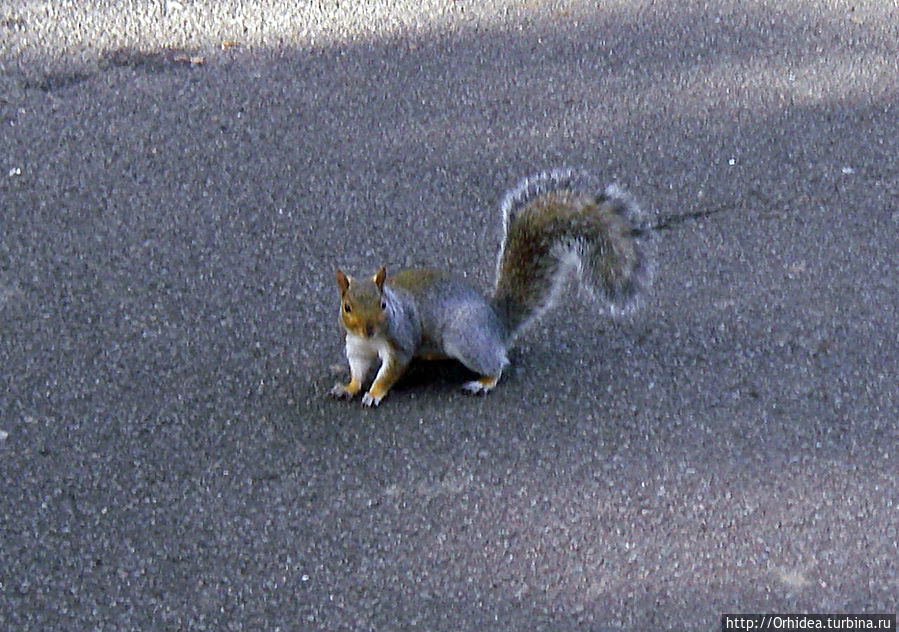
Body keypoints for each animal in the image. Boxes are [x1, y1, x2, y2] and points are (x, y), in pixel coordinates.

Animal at [330, 168, 652, 404]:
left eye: (383, 304)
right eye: (347, 307)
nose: (369, 329)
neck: (373, 339)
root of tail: (497, 321)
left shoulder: (400, 341)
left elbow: (389, 371)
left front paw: (374, 393)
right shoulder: (356, 345)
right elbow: (358, 368)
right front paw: (349, 387)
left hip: (464, 338)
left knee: (499, 362)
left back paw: (484, 381)